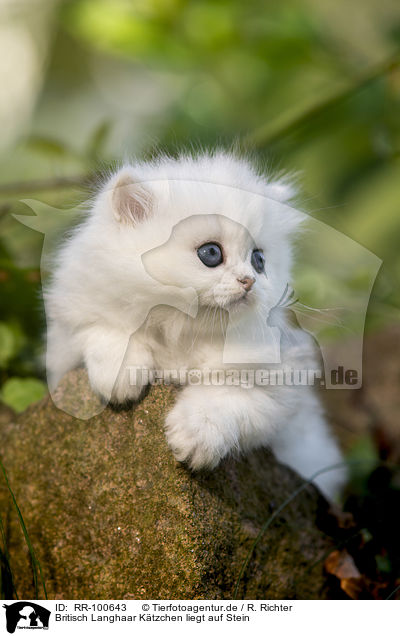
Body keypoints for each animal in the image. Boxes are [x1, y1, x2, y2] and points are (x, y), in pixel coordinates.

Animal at [45, 152, 346, 500]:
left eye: (259, 260)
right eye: (211, 253)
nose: (249, 281)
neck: (183, 329)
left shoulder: (281, 387)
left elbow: (223, 399)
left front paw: (194, 439)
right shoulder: (68, 331)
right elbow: (107, 331)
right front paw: (121, 379)